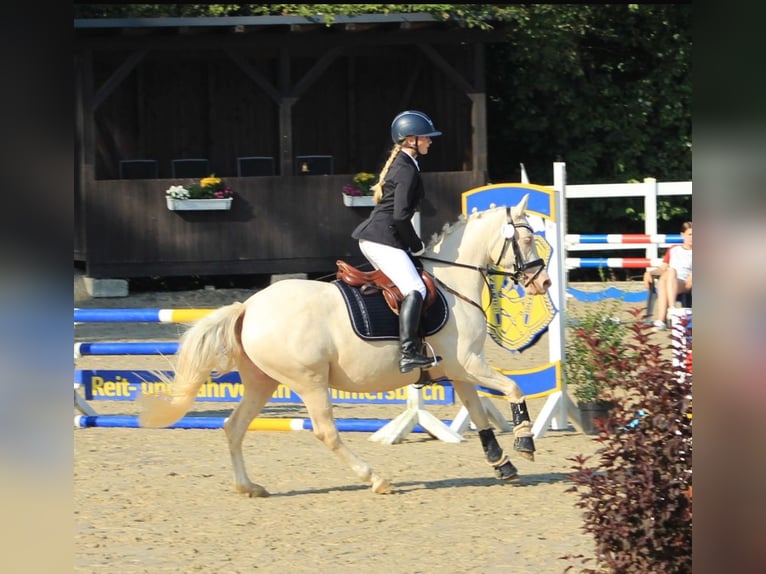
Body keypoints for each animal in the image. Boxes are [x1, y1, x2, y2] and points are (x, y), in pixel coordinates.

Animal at [140, 192, 552, 496]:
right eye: (527, 239)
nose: (543, 283)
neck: (453, 285)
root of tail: (249, 306)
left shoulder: (459, 370)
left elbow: (480, 414)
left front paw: (503, 463)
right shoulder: (468, 363)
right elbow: (513, 388)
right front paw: (525, 443)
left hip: (262, 382)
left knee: (234, 426)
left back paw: (248, 487)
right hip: (309, 381)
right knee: (325, 432)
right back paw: (376, 479)